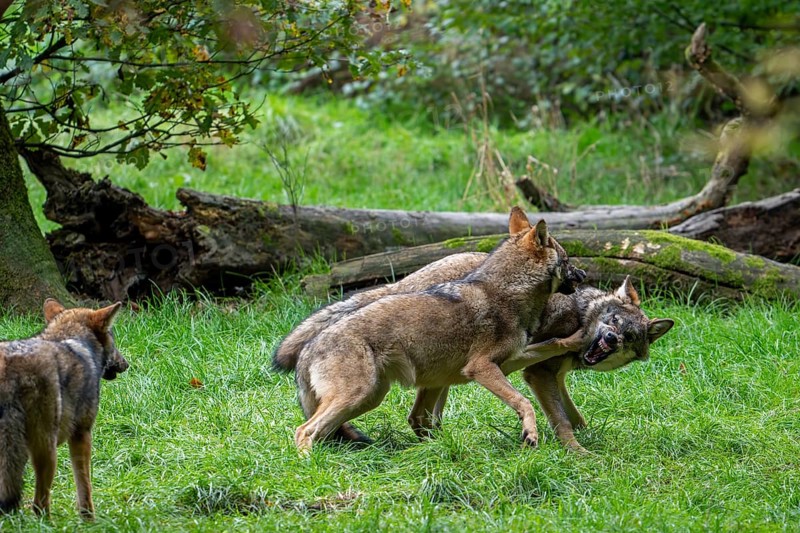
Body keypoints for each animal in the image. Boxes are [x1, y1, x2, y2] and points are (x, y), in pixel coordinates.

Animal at [0, 299, 129, 520]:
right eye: (113, 339)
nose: (126, 364)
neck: (69, 338)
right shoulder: (82, 434)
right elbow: (84, 486)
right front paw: (89, 520)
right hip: (46, 451)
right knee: (39, 505)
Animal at [291, 207, 579, 453]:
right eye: (567, 260)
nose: (583, 274)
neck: (508, 293)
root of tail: (307, 350)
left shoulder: (507, 362)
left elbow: (552, 344)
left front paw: (577, 338)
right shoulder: (481, 368)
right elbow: (525, 402)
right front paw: (530, 434)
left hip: (373, 397)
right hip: (360, 396)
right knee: (304, 430)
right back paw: (311, 466)